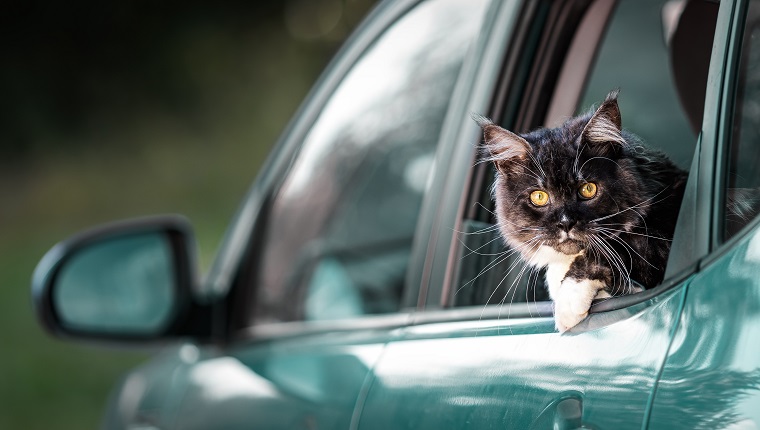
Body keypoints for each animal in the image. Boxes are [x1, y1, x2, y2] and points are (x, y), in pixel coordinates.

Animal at [478, 91, 684, 332]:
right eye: (539, 197)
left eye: (588, 189)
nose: (565, 223)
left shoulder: (657, 240)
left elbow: (606, 250)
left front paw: (568, 303)